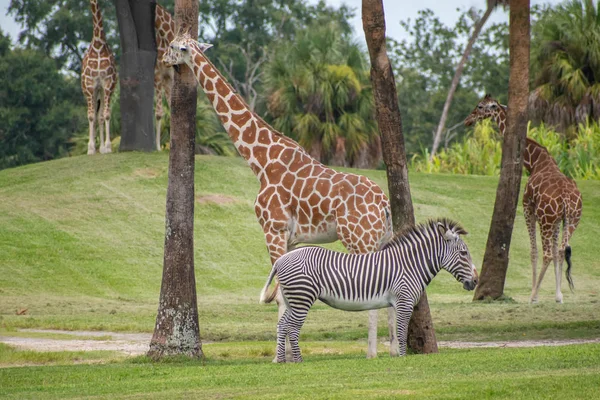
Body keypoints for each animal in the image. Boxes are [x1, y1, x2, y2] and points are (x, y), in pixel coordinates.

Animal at [162, 33, 400, 360]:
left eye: (175, 46)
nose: (163, 59)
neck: (261, 161)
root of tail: (385, 205)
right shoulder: (291, 239)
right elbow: (285, 294)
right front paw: (284, 353)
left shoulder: (272, 230)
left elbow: (279, 296)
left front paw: (279, 357)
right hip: (382, 239)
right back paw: (395, 349)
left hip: (359, 239)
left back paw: (371, 353)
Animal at [258, 219, 478, 362]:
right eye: (464, 253)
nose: (475, 281)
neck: (410, 265)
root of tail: (280, 259)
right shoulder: (404, 301)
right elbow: (401, 331)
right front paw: (402, 358)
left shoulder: (397, 302)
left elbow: (397, 330)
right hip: (303, 298)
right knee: (292, 328)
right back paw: (298, 360)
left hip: (292, 299)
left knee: (282, 325)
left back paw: (281, 360)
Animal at [464, 95, 580, 304]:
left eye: (480, 106)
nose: (467, 120)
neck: (534, 162)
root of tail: (568, 198)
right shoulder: (557, 220)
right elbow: (556, 253)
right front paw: (558, 295)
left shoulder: (528, 208)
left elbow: (533, 251)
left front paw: (536, 294)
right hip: (571, 220)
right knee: (560, 250)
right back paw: (557, 295)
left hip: (546, 219)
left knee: (547, 253)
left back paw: (533, 296)